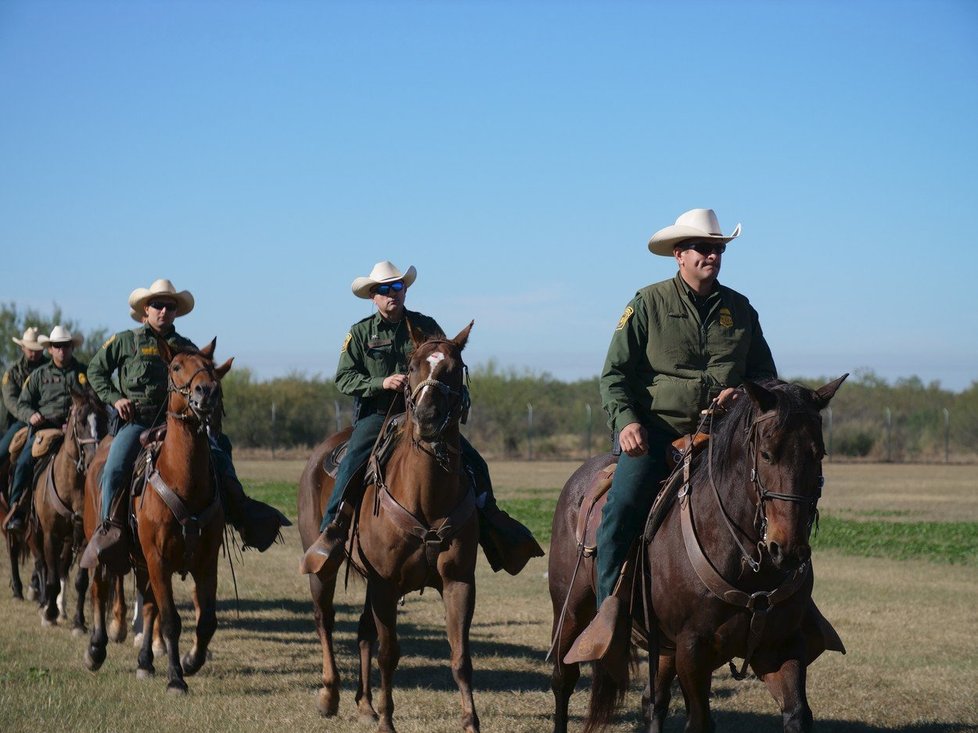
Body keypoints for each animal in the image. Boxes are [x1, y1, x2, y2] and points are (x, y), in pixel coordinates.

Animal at [29, 384, 106, 628]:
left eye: (104, 419)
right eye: (80, 421)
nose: (94, 458)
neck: (73, 486)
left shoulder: (83, 538)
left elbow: (80, 580)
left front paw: (78, 622)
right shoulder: (50, 535)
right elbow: (51, 575)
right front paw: (49, 614)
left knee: (63, 567)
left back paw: (61, 608)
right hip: (37, 532)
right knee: (43, 565)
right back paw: (45, 603)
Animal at [82, 338, 231, 692]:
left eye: (210, 365)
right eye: (176, 367)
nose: (207, 392)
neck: (183, 480)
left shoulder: (206, 562)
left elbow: (206, 621)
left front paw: (190, 661)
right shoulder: (158, 559)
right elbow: (171, 620)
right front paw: (176, 677)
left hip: (141, 560)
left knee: (147, 604)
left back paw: (145, 662)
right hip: (100, 544)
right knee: (99, 589)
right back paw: (95, 649)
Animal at [298, 322, 480, 732]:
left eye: (454, 368)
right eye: (411, 367)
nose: (427, 417)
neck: (426, 496)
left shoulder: (458, 582)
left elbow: (460, 658)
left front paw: (471, 722)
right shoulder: (386, 584)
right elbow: (389, 654)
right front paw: (387, 721)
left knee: (363, 631)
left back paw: (365, 705)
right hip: (324, 570)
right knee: (325, 620)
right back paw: (329, 695)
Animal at [548, 378, 848, 732]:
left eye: (819, 454)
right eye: (766, 453)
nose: (786, 549)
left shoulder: (780, 647)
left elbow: (797, 713)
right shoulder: (692, 650)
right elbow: (701, 721)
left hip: (663, 644)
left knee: (653, 702)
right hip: (570, 610)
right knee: (563, 678)